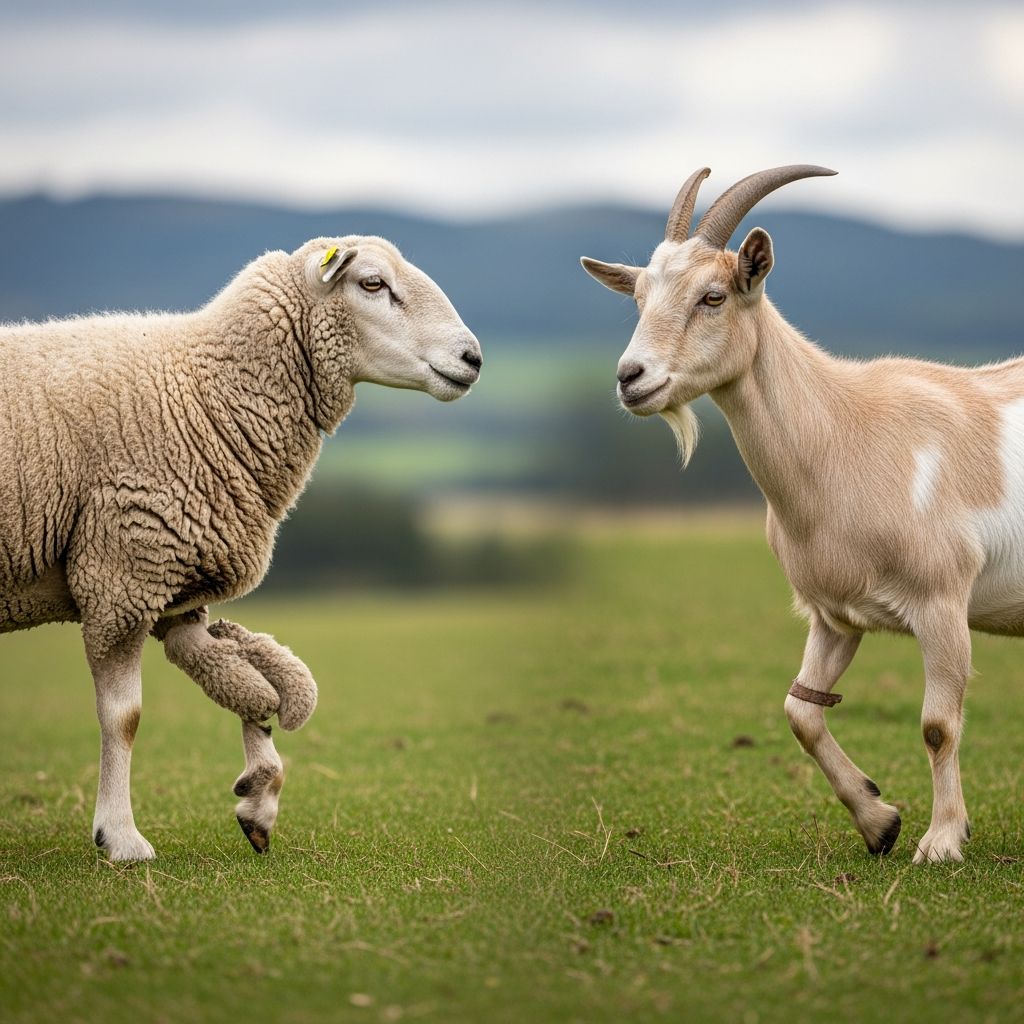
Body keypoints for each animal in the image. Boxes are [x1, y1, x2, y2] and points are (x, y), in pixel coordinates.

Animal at [0, 235, 482, 861]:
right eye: (372, 283)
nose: (473, 357)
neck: (204, 390)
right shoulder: (122, 574)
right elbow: (124, 717)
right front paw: (122, 838)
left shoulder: (175, 583)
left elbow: (250, 691)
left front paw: (260, 799)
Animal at [581, 164, 1019, 863]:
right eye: (639, 297)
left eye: (713, 296)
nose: (631, 378)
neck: (844, 430)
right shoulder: (834, 613)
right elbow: (801, 712)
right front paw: (879, 821)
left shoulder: (943, 601)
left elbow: (937, 725)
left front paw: (942, 841)